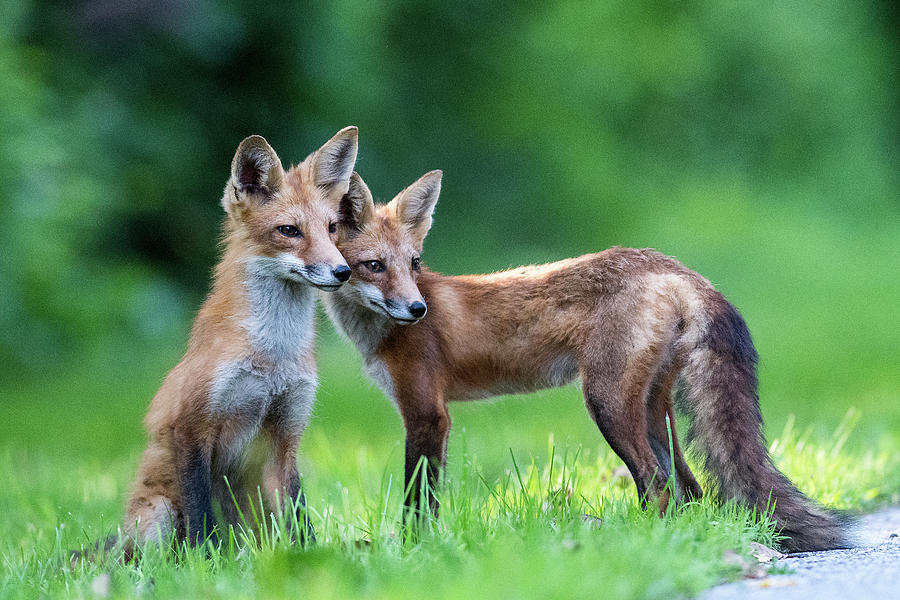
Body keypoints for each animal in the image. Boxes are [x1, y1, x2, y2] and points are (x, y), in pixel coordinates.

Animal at [118, 127, 358, 556]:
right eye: (289, 231)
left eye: (332, 228)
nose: (342, 271)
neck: (272, 356)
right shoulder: (189, 427)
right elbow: (201, 515)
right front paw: (206, 561)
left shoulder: (286, 436)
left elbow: (299, 514)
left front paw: (310, 556)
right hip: (157, 516)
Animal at [324, 170, 852, 552]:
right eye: (375, 265)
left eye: (413, 263)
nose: (417, 310)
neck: (377, 333)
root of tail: (674, 266)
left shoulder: (428, 414)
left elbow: (418, 501)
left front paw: (416, 551)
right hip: (651, 409)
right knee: (689, 486)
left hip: (606, 403)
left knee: (659, 485)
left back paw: (635, 545)